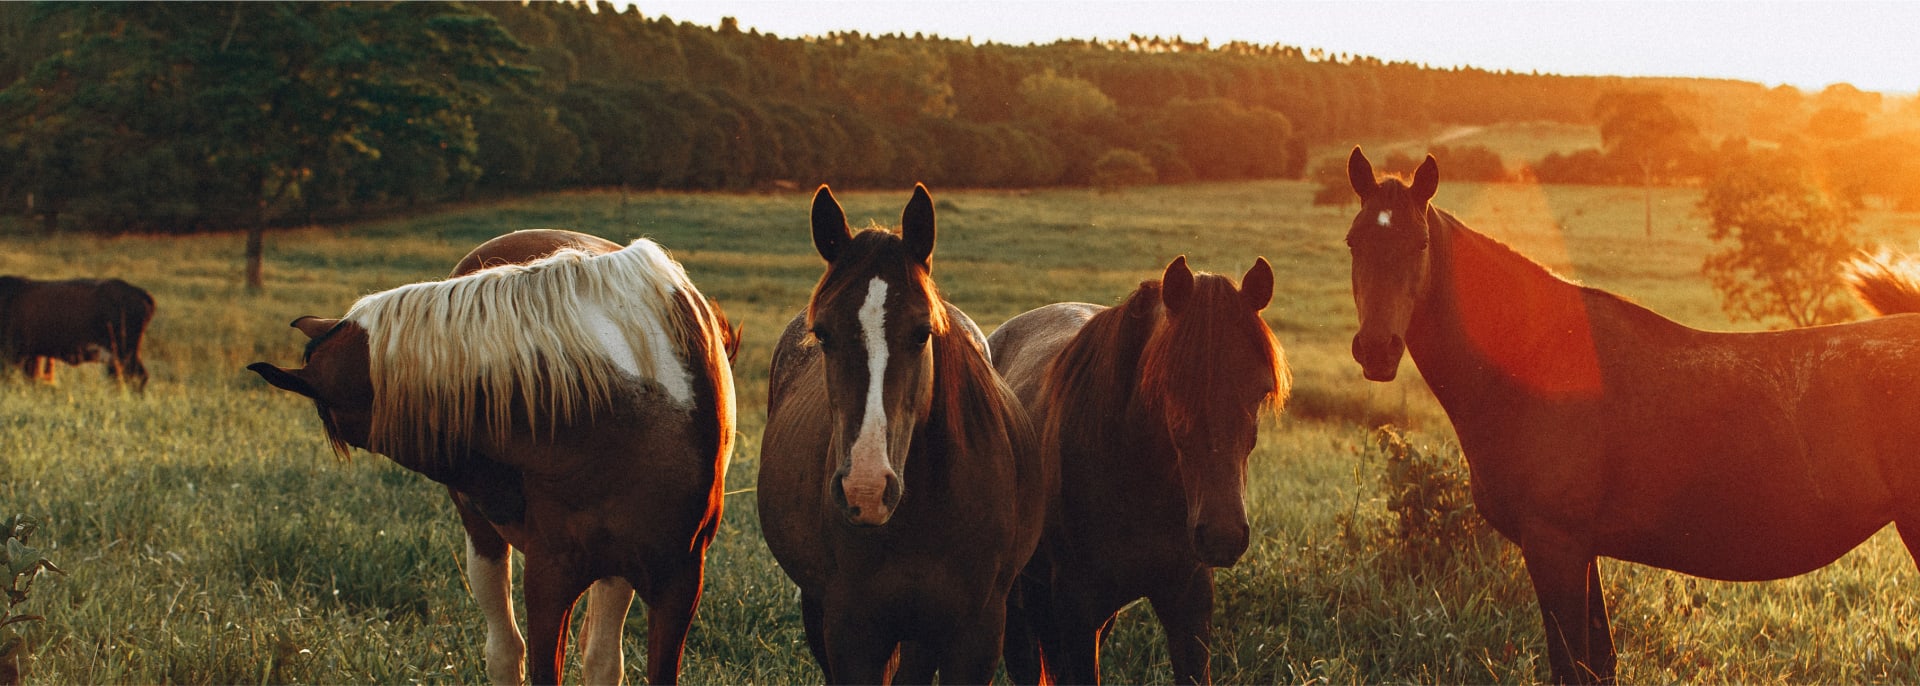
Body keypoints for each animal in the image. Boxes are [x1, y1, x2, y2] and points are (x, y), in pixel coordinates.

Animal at [1344, 147, 1920, 680]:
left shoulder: (1554, 545)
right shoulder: (1583, 550)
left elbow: (1572, 666)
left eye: (1420, 243)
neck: (1537, 359)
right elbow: (1601, 662)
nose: (1376, 349)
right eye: (1354, 241)